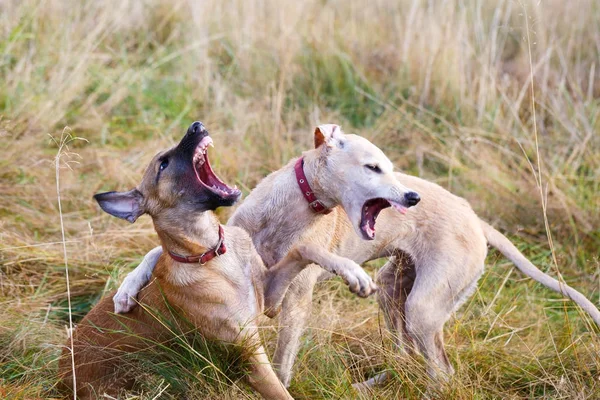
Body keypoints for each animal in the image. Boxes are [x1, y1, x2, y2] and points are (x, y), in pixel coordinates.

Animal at [58, 123, 350, 398]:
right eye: (163, 164)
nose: (196, 126)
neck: (210, 252)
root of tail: (62, 381)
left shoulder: (269, 298)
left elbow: (302, 250)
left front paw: (349, 270)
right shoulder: (250, 357)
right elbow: (281, 393)